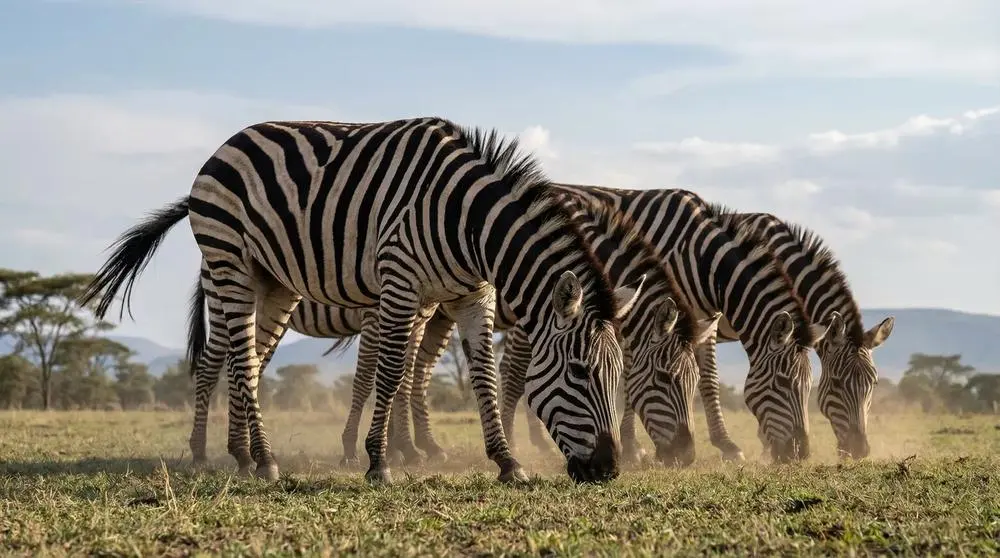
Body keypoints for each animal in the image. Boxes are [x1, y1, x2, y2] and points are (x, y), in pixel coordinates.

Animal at [78, 117, 644, 485]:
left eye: (618, 375)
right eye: (580, 373)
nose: (608, 471)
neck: (467, 224)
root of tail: (227, 143)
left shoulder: (472, 295)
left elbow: (481, 375)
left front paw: (507, 462)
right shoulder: (399, 282)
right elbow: (389, 373)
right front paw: (379, 462)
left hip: (275, 282)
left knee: (249, 362)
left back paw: (243, 455)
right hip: (228, 266)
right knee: (224, 359)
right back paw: (250, 458)